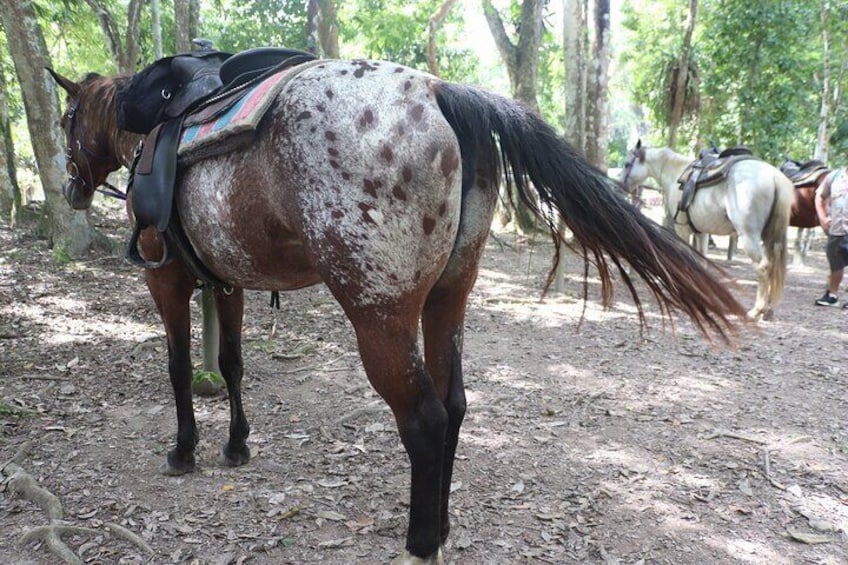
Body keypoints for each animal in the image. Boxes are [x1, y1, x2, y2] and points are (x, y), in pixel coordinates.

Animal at [49, 59, 744, 560]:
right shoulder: (226, 283)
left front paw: (185, 449)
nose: (70, 188)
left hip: (378, 317)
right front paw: (237, 444)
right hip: (447, 301)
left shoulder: (167, 280)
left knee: (426, 419)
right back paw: (440, 526)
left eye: (65, 120)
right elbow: (232, 364)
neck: (152, 133)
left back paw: (420, 542)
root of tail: (442, 91)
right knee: (455, 405)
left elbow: (177, 369)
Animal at [616, 139, 796, 320]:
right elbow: (701, 260)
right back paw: (769, 310)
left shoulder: (683, 230)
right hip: (769, 237)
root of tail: (773, 176)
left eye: (626, 164)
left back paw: (757, 310)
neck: (675, 172)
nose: (620, 184)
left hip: (749, 236)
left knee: (763, 267)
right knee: (773, 266)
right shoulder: (701, 232)